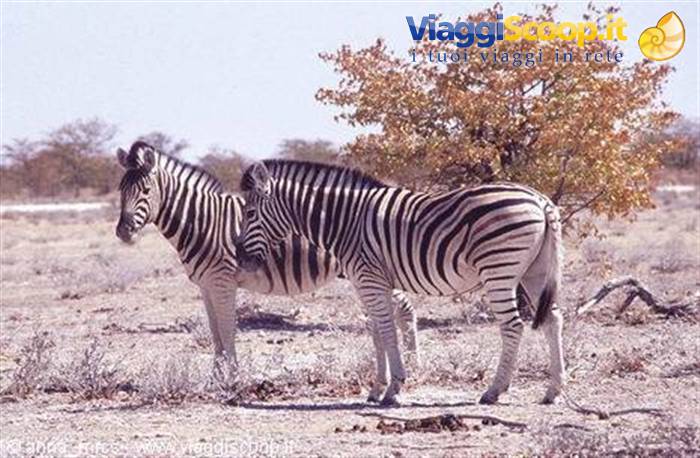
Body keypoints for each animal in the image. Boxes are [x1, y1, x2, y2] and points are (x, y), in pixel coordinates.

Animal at [114, 141, 418, 366]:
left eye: (145, 190)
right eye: (120, 190)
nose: (123, 232)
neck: (202, 221)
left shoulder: (222, 282)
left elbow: (227, 330)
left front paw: (233, 379)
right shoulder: (205, 286)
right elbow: (215, 334)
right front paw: (217, 377)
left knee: (404, 309)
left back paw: (413, 364)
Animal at [235, 160, 565, 406]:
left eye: (250, 213)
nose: (240, 258)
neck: (344, 221)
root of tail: (540, 200)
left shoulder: (370, 279)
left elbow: (385, 330)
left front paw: (393, 390)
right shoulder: (367, 282)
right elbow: (376, 333)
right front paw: (376, 389)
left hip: (499, 269)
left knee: (513, 325)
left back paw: (494, 391)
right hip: (535, 272)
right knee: (553, 319)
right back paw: (553, 391)